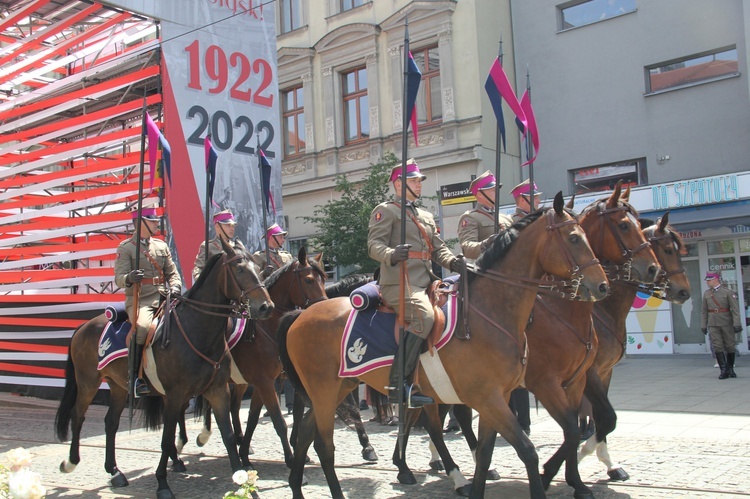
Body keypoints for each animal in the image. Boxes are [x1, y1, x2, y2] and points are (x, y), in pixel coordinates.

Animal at [55, 240, 274, 498]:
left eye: (259, 269)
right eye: (239, 270)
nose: (265, 307)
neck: (197, 329)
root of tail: (83, 326)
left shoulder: (218, 390)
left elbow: (228, 435)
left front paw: (243, 483)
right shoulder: (175, 394)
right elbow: (167, 438)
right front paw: (162, 483)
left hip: (118, 386)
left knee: (111, 422)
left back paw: (115, 472)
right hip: (88, 382)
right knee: (78, 415)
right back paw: (71, 462)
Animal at [276, 192, 612, 499]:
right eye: (574, 238)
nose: (602, 286)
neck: (490, 311)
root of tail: (302, 313)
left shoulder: (498, 398)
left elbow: (486, 452)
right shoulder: (494, 396)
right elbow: (528, 450)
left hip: (340, 387)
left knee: (306, 432)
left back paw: (297, 487)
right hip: (324, 389)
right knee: (324, 445)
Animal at [580, 214, 696, 480]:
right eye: (667, 250)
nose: (684, 291)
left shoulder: (605, 372)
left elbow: (603, 417)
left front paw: (609, 463)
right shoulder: (588, 373)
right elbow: (605, 417)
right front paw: (582, 452)